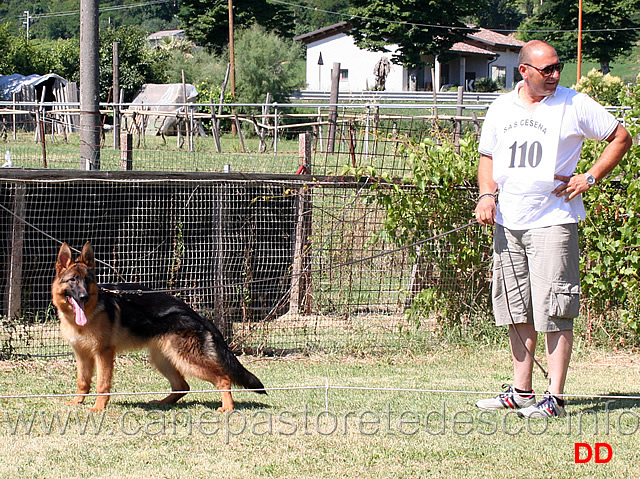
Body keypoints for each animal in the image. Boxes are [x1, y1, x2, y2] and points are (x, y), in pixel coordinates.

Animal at [51, 244, 266, 412]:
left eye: (87, 280)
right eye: (73, 280)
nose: (84, 296)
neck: (91, 310)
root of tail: (197, 315)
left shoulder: (103, 354)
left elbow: (102, 385)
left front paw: (98, 407)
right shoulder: (82, 355)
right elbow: (83, 382)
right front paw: (77, 402)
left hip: (187, 359)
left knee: (223, 379)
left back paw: (227, 407)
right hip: (163, 359)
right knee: (182, 385)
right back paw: (162, 403)